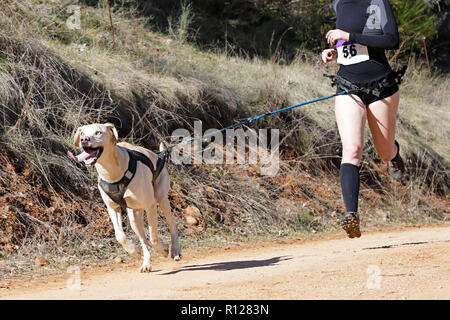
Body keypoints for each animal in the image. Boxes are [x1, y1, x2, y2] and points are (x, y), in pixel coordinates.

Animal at [67, 123, 180, 272]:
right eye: (82, 133)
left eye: (98, 132)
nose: (84, 139)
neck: (112, 172)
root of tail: (158, 155)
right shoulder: (112, 207)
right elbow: (120, 236)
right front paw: (133, 251)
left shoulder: (150, 205)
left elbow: (154, 238)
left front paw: (164, 249)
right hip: (134, 217)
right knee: (143, 240)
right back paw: (146, 263)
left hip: (162, 199)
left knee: (172, 223)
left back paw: (175, 250)